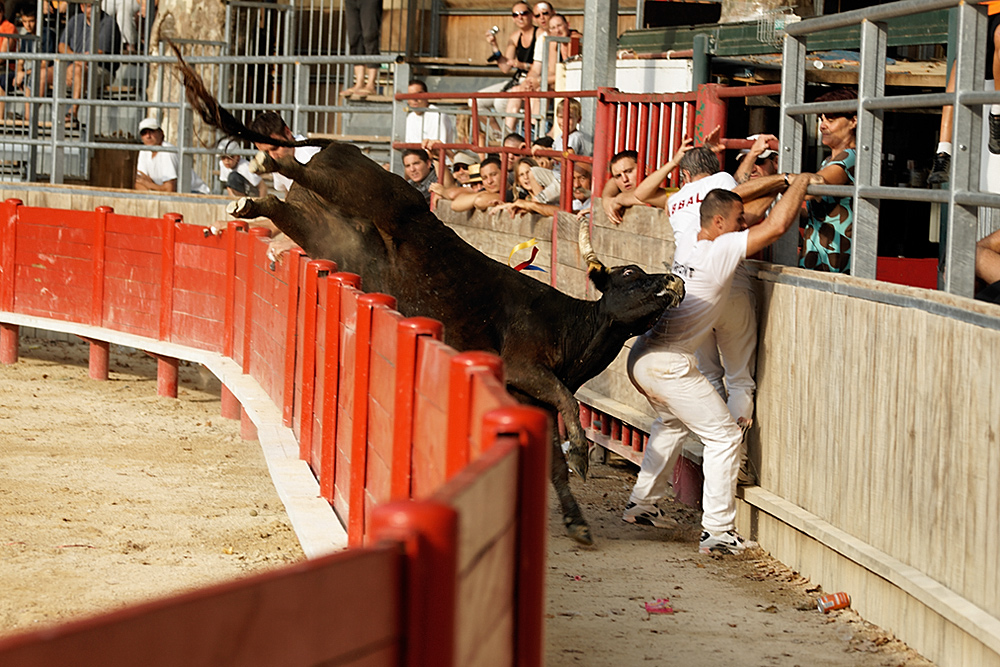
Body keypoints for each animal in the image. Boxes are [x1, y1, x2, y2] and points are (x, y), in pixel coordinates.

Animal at [178, 58, 688, 548]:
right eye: (630, 276)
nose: (674, 281)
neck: (568, 324)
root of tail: (343, 147)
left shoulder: (533, 401)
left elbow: (556, 459)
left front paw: (577, 521)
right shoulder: (525, 369)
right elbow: (568, 403)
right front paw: (582, 456)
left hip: (323, 230)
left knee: (285, 208)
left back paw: (250, 201)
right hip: (382, 201)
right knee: (307, 176)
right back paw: (269, 161)